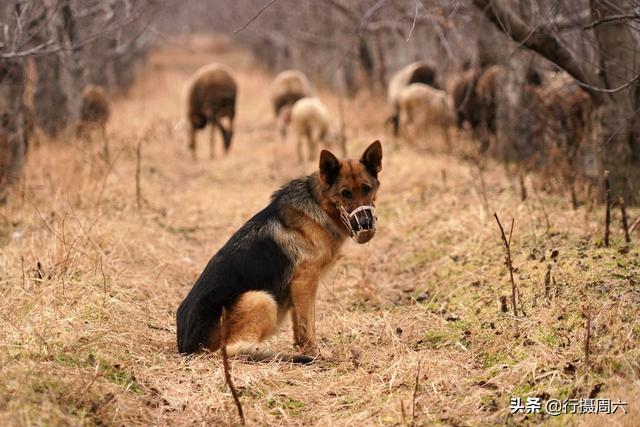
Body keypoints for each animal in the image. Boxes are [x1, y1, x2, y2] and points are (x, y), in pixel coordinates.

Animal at [178, 140, 382, 364]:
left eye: (366, 189)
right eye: (345, 193)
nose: (365, 223)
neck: (319, 203)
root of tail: (188, 348)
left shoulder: (297, 290)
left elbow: (299, 328)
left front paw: (304, 351)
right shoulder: (305, 283)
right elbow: (308, 326)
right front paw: (315, 355)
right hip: (261, 300)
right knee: (233, 349)